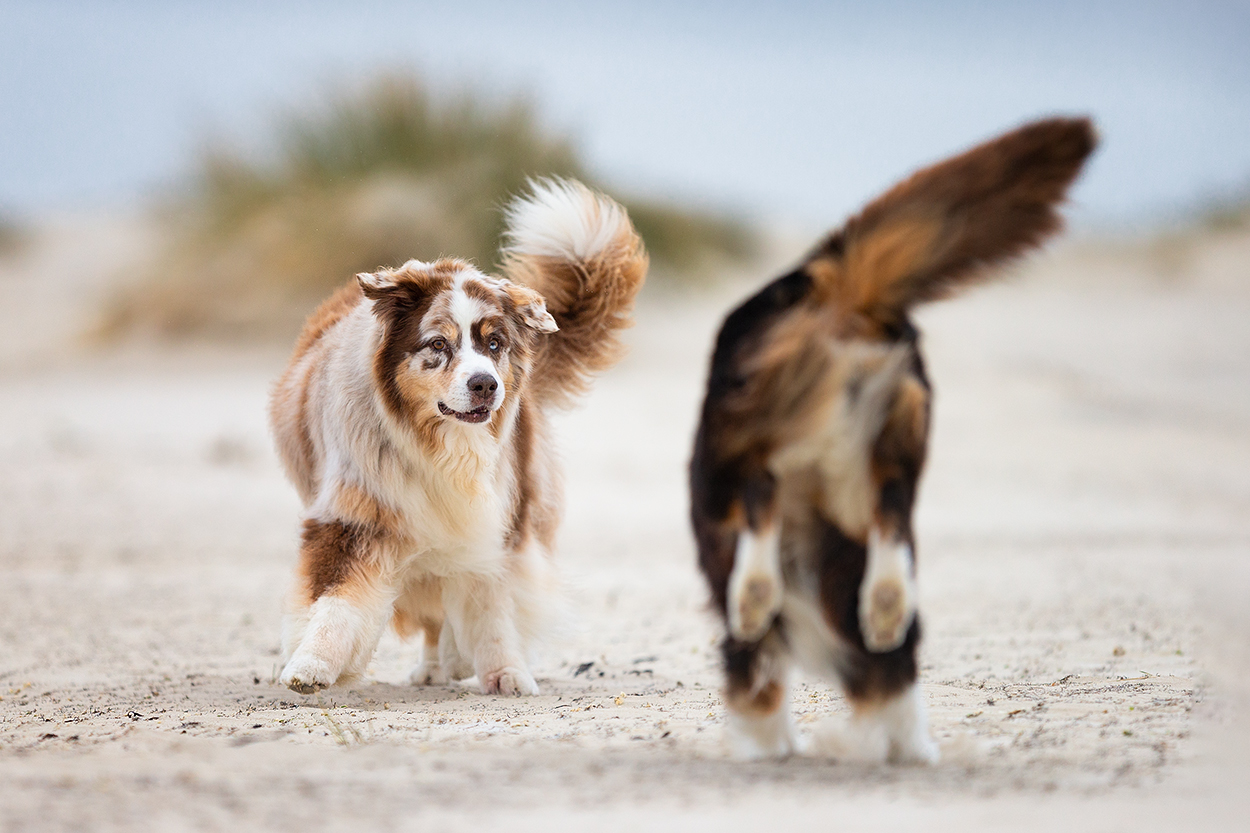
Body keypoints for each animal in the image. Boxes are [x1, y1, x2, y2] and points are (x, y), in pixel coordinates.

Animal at [271, 180, 645, 695]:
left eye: (495, 343)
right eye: (438, 344)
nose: (486, 384)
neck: (439, 446)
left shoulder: (493, 518)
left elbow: (490, 605)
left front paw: (506, 673)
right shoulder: (354, 513)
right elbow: (335, 600)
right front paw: (311, 663)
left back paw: (453, 659)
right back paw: (434, 664)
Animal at [695, 116, 1095, 760]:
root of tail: (834, 287)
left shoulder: (754, 648)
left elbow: (760, 693)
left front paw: (776, 746)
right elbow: (892, 688)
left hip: (729, 447)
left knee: (760, 494)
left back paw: (755, 593)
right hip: (897, 435)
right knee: (891, 516)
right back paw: (884, 603)